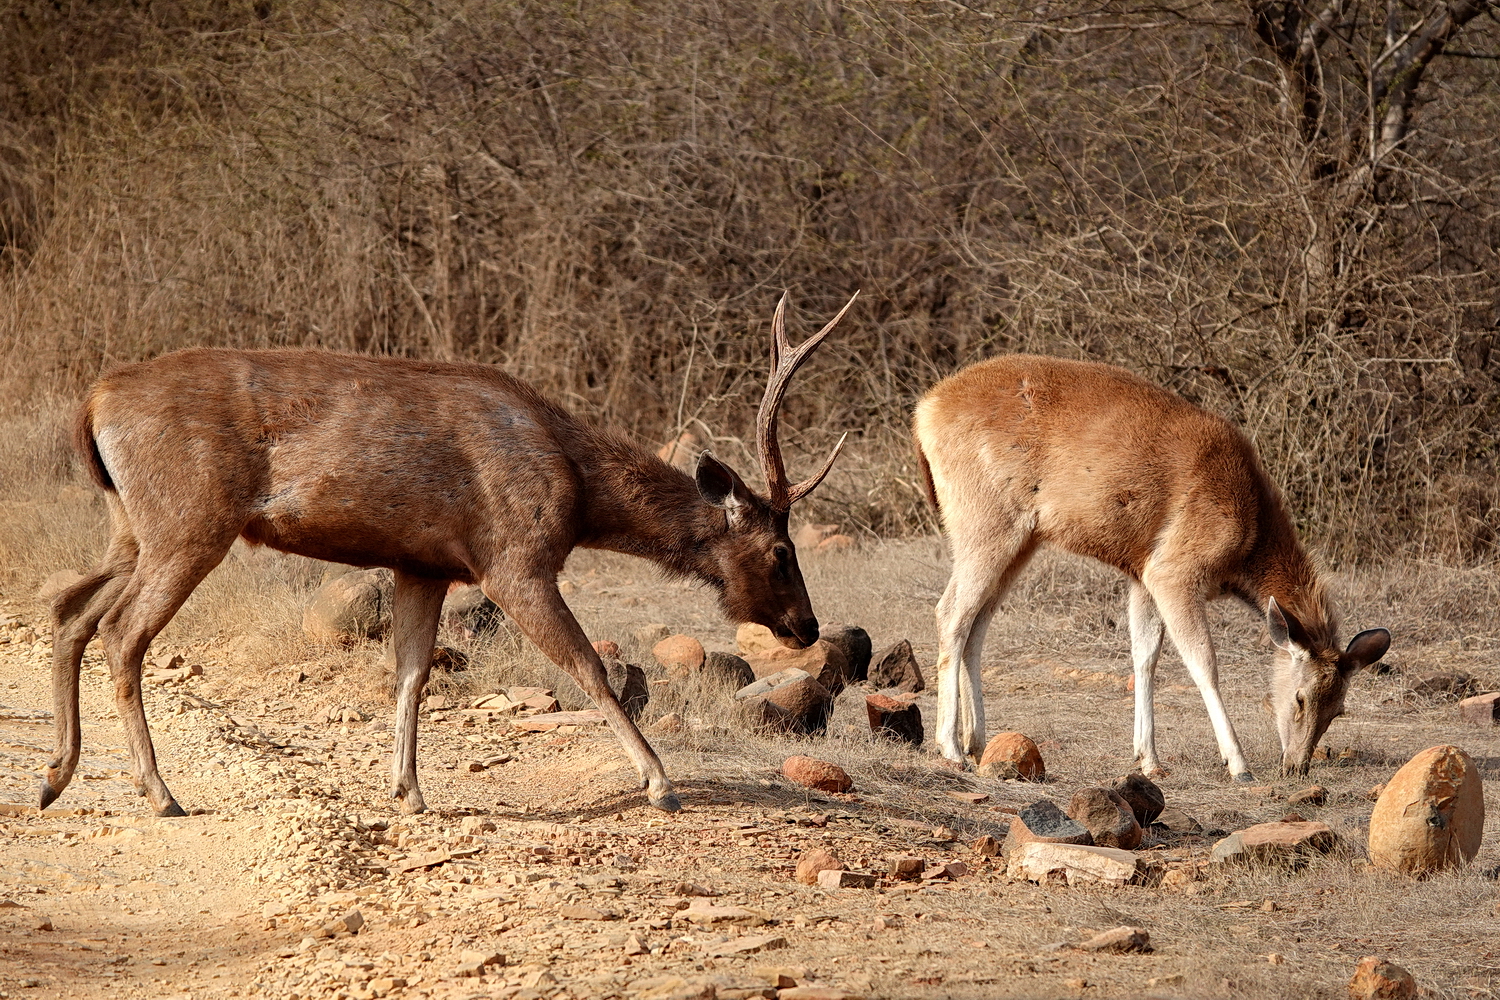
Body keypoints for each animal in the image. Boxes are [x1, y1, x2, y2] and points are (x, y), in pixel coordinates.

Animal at [43, 290, 858, 821]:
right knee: (120, 633)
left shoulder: (424, 565)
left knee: (68, 610)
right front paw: (662, 784)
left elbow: (411, 675)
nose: (807, 626)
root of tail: (92, 404)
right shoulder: (513, 558)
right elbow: (589, 669)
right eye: (781, 549)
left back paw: (58, 775)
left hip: (130, 525)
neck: (578, 491)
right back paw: (159, 794)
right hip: (187, 521)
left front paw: (408, 792)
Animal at [912, 355, 1392, 785]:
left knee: (977, 623)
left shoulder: (1143, 574)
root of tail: (924, 413)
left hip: (1019, 539)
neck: (1247, 548)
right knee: (950, 612)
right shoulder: (1174, 571)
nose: (1296, 766)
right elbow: (1202, 661)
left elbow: (1144, 656)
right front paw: (1237, 764)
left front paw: (1149, 760)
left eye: (1339, 708)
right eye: (1299, 697)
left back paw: (977, 742)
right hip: (985, 521)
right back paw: (950, 747)